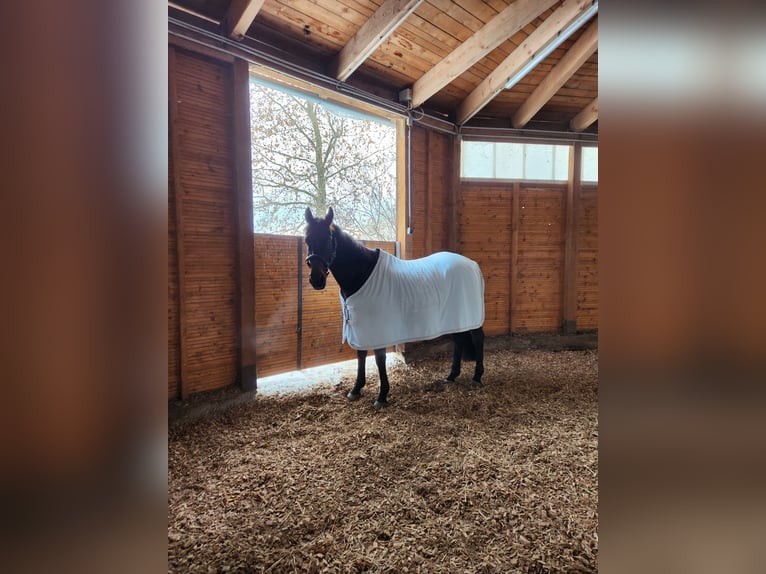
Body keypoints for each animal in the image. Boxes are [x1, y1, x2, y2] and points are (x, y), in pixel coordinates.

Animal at [304, 207, 486, 410]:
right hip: (456, 317)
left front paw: (382, 396)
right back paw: (452, 376)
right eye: (307, 240)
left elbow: (379, 359)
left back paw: (477, 377)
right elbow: (361, 355)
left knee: (478, 339)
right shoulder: (360, 327)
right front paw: (356, 389)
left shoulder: (380, 328)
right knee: (459, 340)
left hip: (471, 316)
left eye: (328, 239)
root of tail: (472, 265)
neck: (362, 273)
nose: (316, 280)